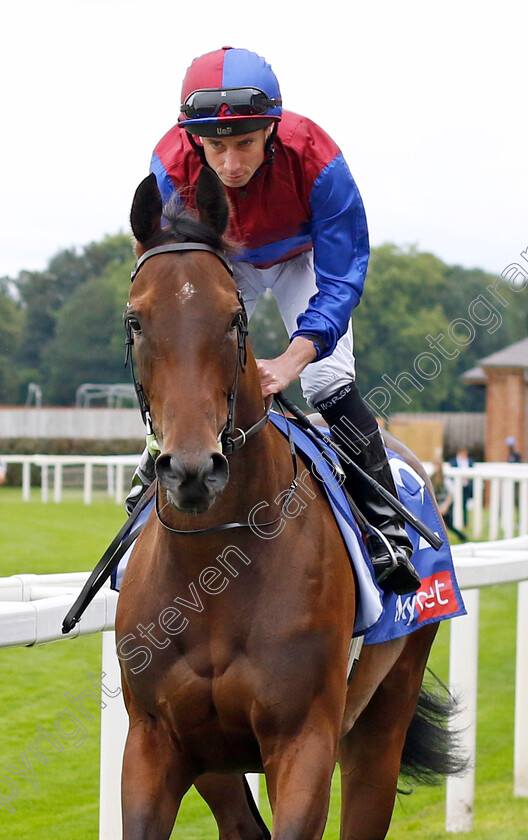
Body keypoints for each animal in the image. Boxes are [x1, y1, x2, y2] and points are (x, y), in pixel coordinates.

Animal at [116, 167, 462, 836]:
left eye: (233, 318)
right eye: (137, 321)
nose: (192, 470)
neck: (215, 571)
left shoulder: (303, 742)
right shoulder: (153, 742)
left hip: (385, 711)